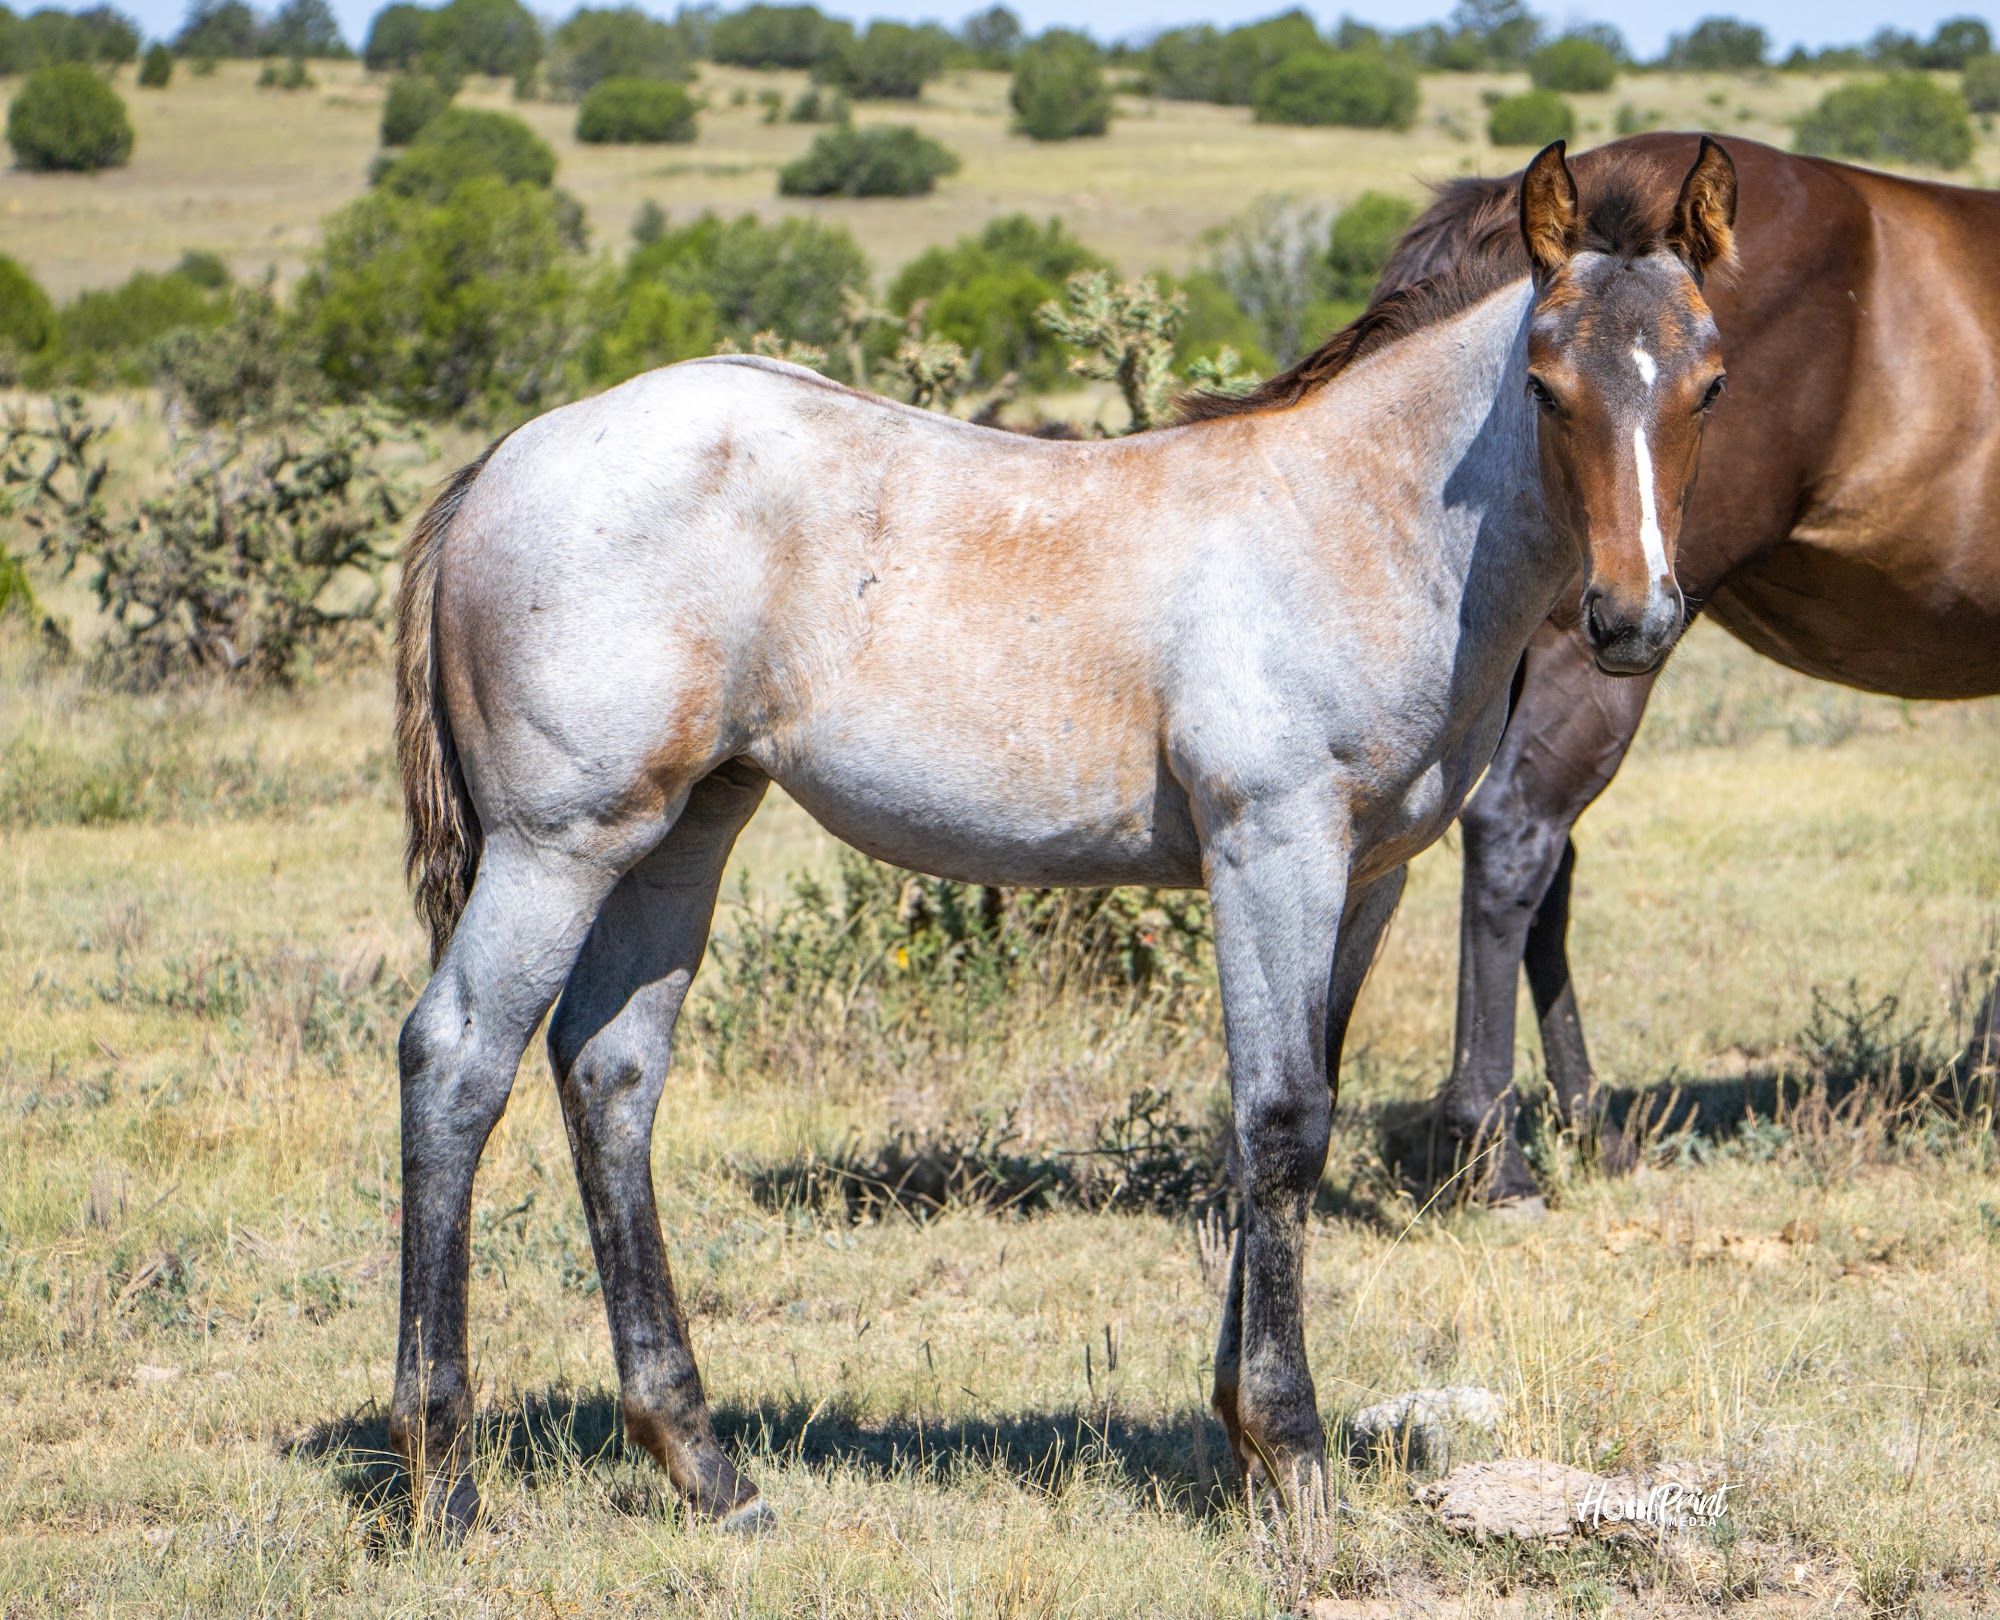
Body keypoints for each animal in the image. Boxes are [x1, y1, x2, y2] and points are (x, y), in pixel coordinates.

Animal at [385, 138, 1738, 1531]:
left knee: (610, 1074)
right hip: (558, 844)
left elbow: (1291, 1110)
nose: (1631, 618)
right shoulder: (1270, 852)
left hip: (681, 832)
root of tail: (506, 459)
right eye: (1544, 384)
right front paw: (1292, 1457)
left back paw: (704, 1465)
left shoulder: (1363, 878)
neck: (1358, 520)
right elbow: (1279, 1121)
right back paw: (442, 1478)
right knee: (455, 1059)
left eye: (1708, 381)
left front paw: (1239, 1437)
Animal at [1374, 135, 2000, 1207]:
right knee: (1517, 834)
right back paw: (1495, 1149)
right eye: (1547, 389)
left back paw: (1591, 1127)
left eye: (1712, 387)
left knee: (1546, 861)